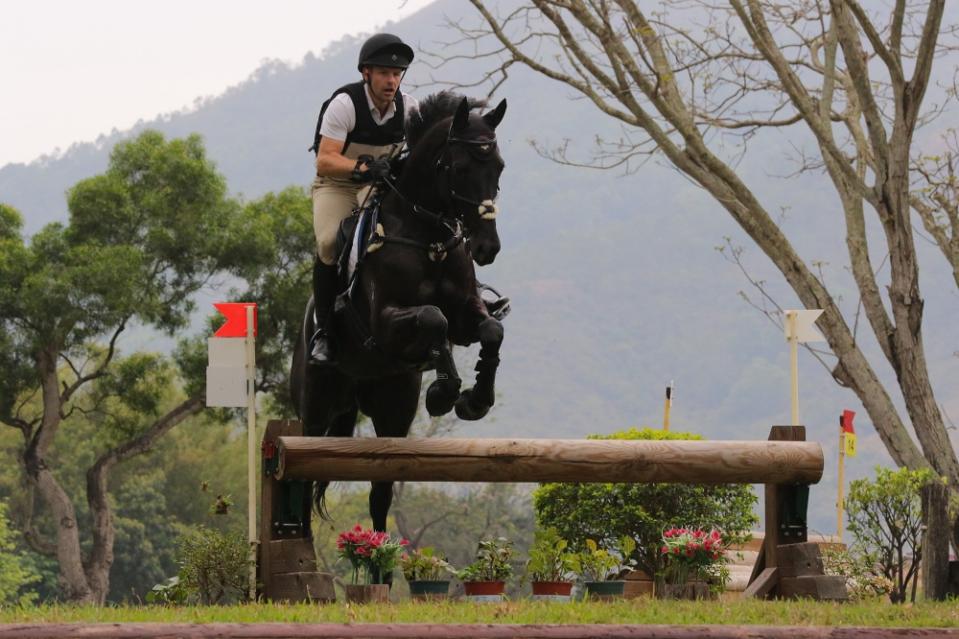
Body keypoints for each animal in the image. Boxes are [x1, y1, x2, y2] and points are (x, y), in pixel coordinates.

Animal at [288, 90, 510, 536]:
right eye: (460, 168)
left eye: (498, 166)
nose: (487, 248)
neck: (428, 236)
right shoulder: (384, 323)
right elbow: (433, 318)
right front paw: (444, 392)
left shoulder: (466, 316)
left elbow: (491, 330)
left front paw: (474, 400)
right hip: (315, 405)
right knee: (305, 471)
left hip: (393, 407)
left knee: (381, 492)